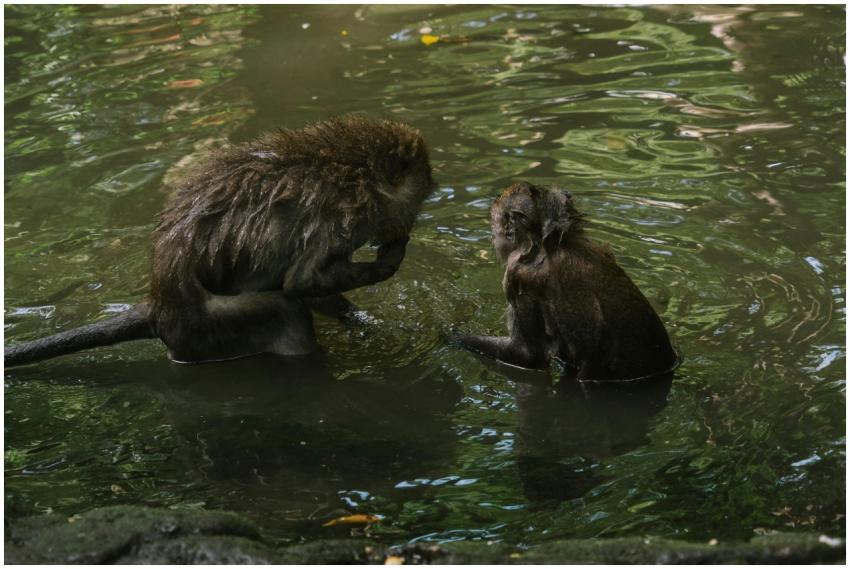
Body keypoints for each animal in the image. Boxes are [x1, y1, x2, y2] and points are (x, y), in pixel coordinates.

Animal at [5, 115, 436, 367]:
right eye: (417, 200)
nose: (407, 226)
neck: (354, 171)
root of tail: (159, 308)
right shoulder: (334, 219)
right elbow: (300, 282)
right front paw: (390, 260)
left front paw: (359, 320)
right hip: (211, 327)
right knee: (286, 312)